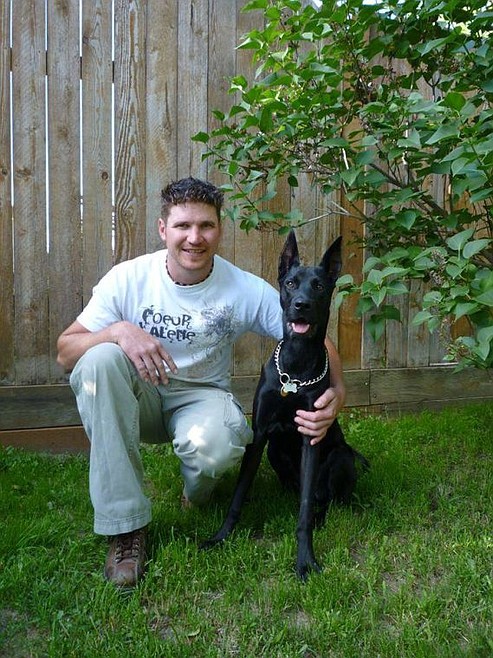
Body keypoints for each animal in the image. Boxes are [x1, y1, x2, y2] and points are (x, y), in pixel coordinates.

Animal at [202, 230, 368, 580]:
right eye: (291, 283)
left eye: (318, 286)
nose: (300, 305)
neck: (295, 366)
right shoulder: (260, 435)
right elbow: (239, 492)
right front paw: (222, 536)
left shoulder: (311, 436)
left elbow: (304, 511)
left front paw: (305, 558)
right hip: (276, 452)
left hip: (340, 457)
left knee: (323, 500)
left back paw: (321, 516)